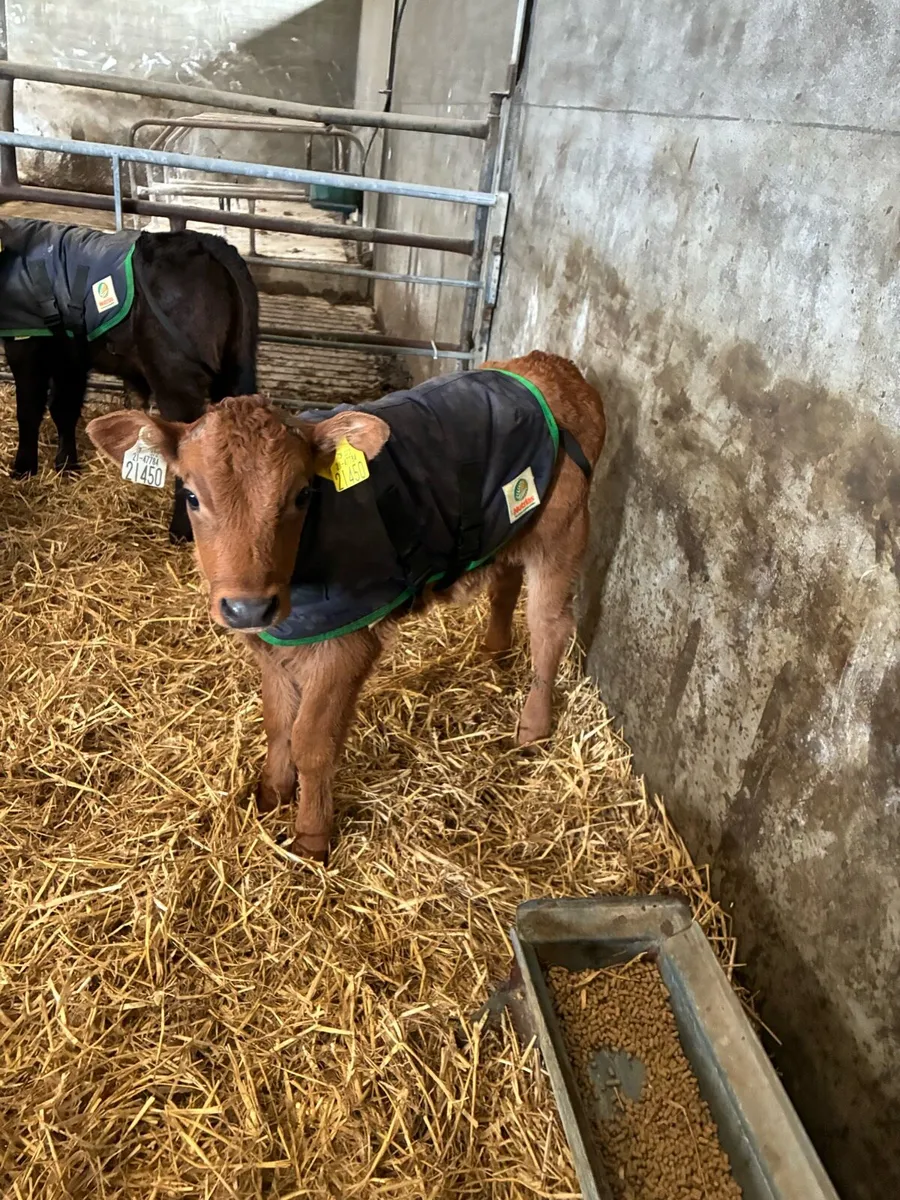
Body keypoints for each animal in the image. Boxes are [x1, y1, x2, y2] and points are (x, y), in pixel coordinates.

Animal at [0, 218, 259, 541]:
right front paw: (67, 465)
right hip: (237, 368)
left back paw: (181, 530)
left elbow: (29, 410)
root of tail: (206, 243)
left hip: (175, 378)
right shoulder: (71, 354)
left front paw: (23, 469)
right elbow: (64, 409)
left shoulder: (24, 342)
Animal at [86, 351, 606, 862]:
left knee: (549, 626)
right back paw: (494, 652)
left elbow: (312, 742)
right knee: (504, 583)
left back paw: (532, 727)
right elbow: (278, 723)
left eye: (302, 494)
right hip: (510, 527)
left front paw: (311, 838)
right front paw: (271, 794)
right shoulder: (271, 641)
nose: (247, 607)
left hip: (562, 535)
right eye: (191, 496)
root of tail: (552, 366)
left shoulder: (347, 642)